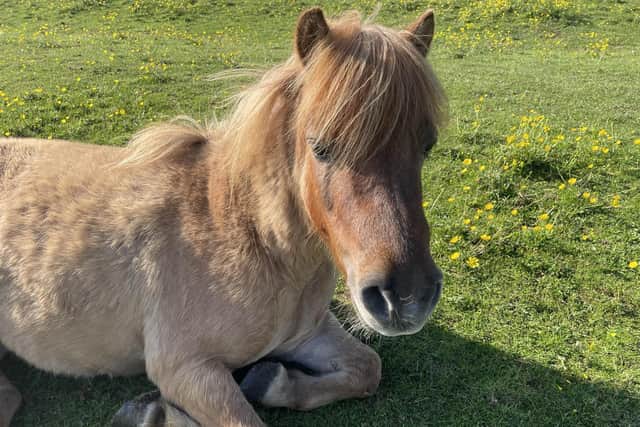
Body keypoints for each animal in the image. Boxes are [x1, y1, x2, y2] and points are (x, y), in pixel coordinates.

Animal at [0, 7, 446, 427]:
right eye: (321, 147)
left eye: (427, 145)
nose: (405, 297)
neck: (242, 234)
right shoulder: (189, 370)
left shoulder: (307, 333)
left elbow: (368, 368)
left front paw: (270, 381)